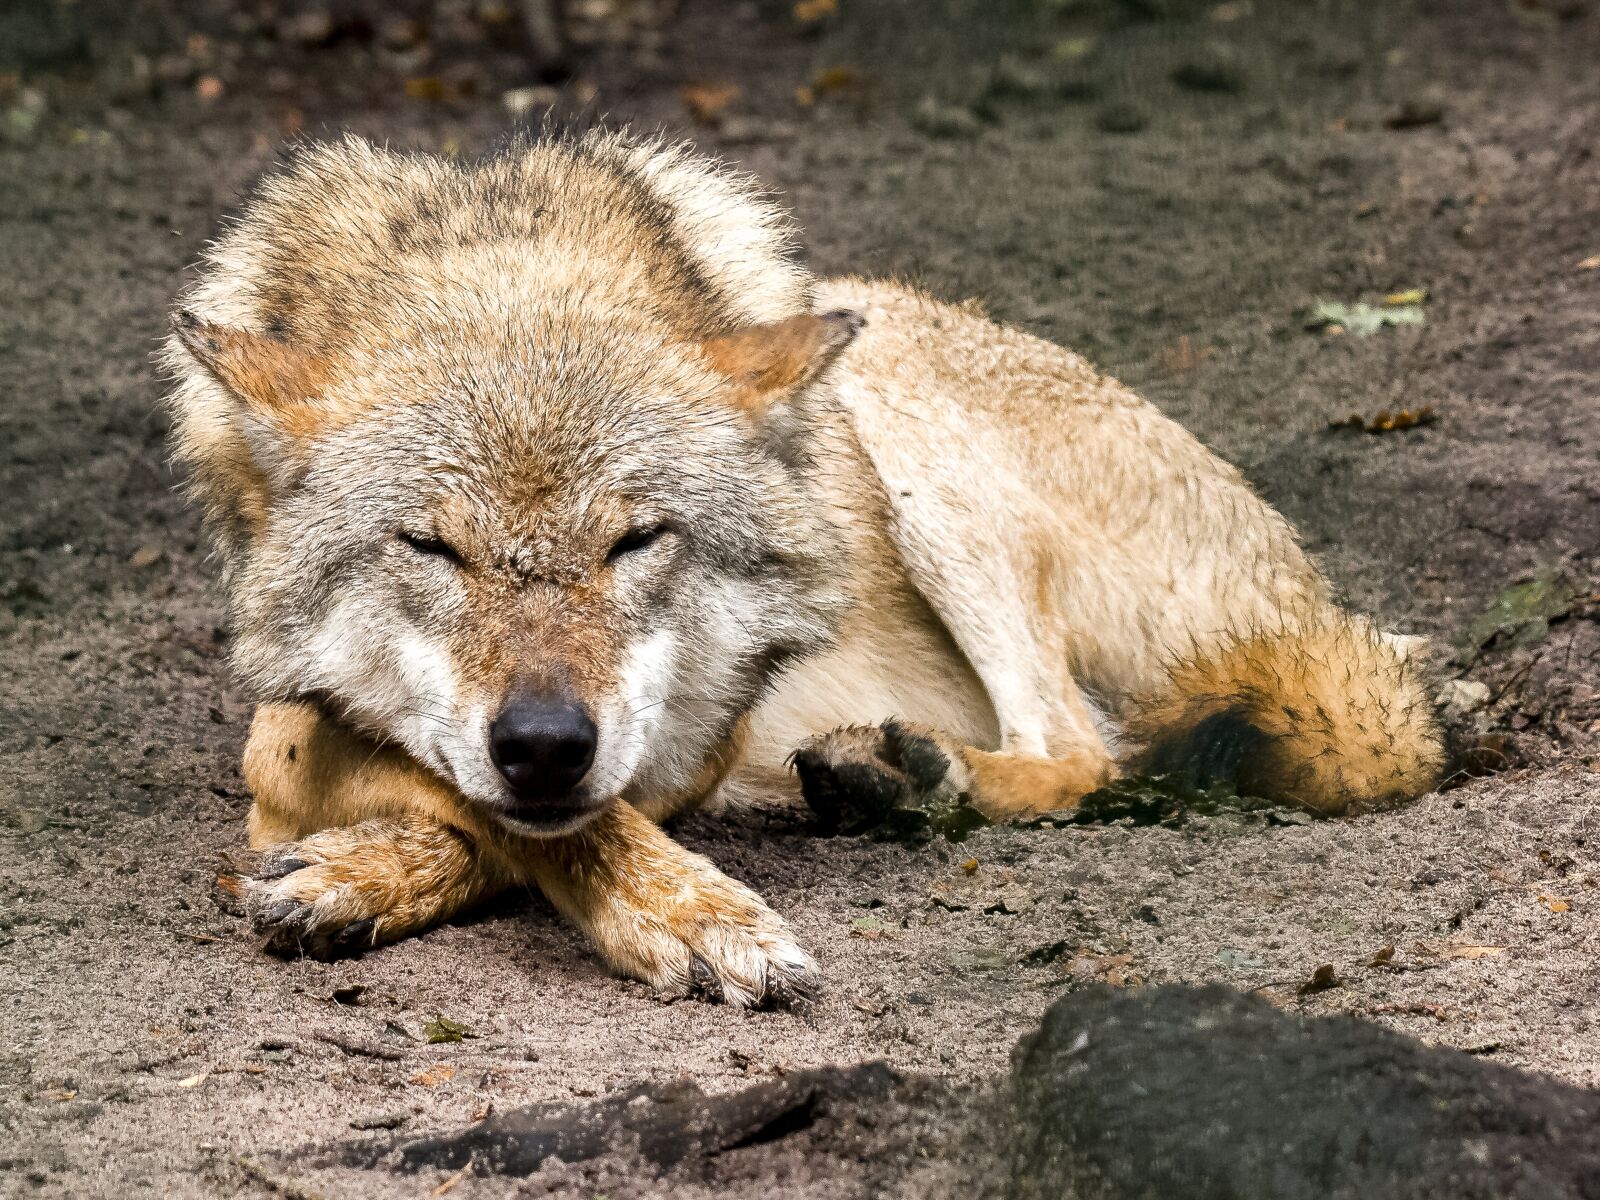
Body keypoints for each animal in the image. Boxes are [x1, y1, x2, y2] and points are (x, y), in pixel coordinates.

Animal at [164, 131, 1445, 1006]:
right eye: (431, 547)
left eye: (638, 540)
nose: (542, 743)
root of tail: (1308, 593)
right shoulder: (297, 724)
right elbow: (427, 787)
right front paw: (358, 874)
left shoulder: (685, 741)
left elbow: (570, 823)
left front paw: (691, 916)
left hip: (902, 443)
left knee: (1084, 746)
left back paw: (911, 782)